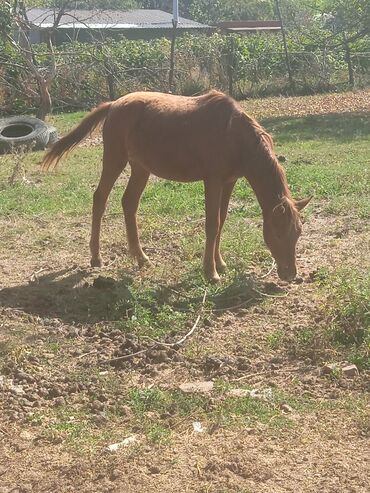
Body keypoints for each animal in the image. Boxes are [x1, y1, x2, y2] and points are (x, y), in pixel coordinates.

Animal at [42, 89, 310, 280]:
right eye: (277, 232)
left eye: (298, 232)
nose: (290, 275)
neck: (233, 134)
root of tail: (114, 104)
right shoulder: (212, 180)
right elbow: (212, 224)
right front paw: (210, 273)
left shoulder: (229, 181)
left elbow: (222, 221)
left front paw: (220, 264)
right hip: (114, 160)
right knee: (100, 198)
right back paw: (96, 258)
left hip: (141, 168)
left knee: (129, 203)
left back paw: (141, 258)